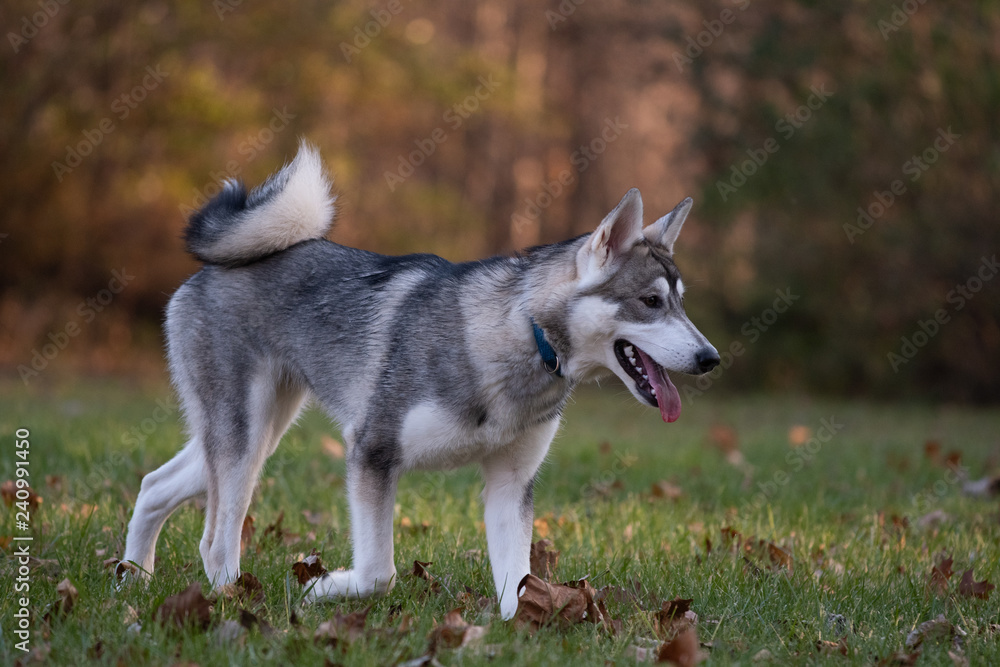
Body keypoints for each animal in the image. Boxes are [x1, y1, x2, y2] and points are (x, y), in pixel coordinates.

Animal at [121, 141, 720, 620]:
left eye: (681, 303)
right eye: (650, 302)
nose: (711, 357)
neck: (523, 338)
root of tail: (214, 267)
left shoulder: (510, 485)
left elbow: (519, 584)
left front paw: (519, 630)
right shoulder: (372, 452)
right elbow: (377, 574)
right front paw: (322, 589)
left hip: (257, 435)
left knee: (154, 484)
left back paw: (132, 578)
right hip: (243, 443)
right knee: (214, 542)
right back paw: (229, 599)